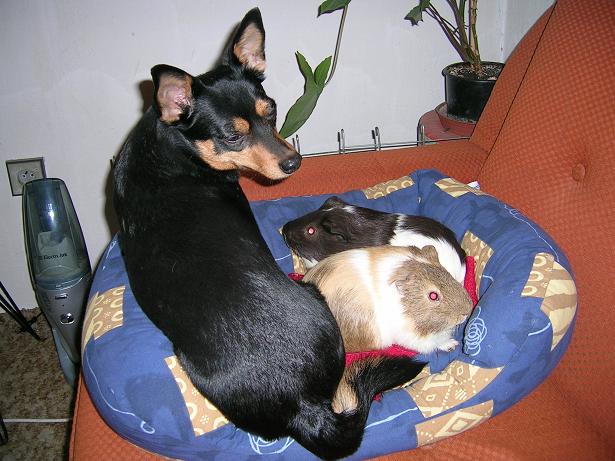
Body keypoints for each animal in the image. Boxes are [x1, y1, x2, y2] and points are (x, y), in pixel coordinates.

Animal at [113, 8, 424, 459]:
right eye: (232, 135)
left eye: (272, 111)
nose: (294, 162)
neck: (174, 149)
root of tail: (303, 406)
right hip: (316, 296)